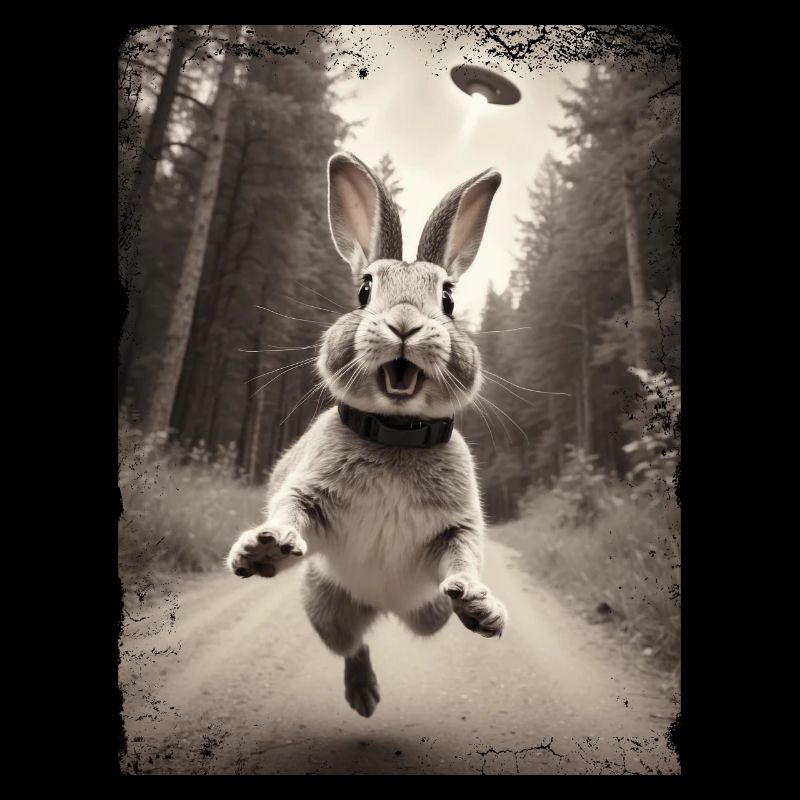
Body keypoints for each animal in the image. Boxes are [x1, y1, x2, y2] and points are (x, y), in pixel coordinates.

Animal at [226, 152, 508, 718]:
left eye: (447, 298)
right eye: (364, 289)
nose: (403, 324)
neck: (395, 434)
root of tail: (381, 606)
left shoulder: (457, 528)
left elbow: (463, 556)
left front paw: (479, 601)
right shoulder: (307, 492)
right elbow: (288, 512)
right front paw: (263, 549)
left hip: (428, 611)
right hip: (324, 603)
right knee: (351, 644)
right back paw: (363, 695)